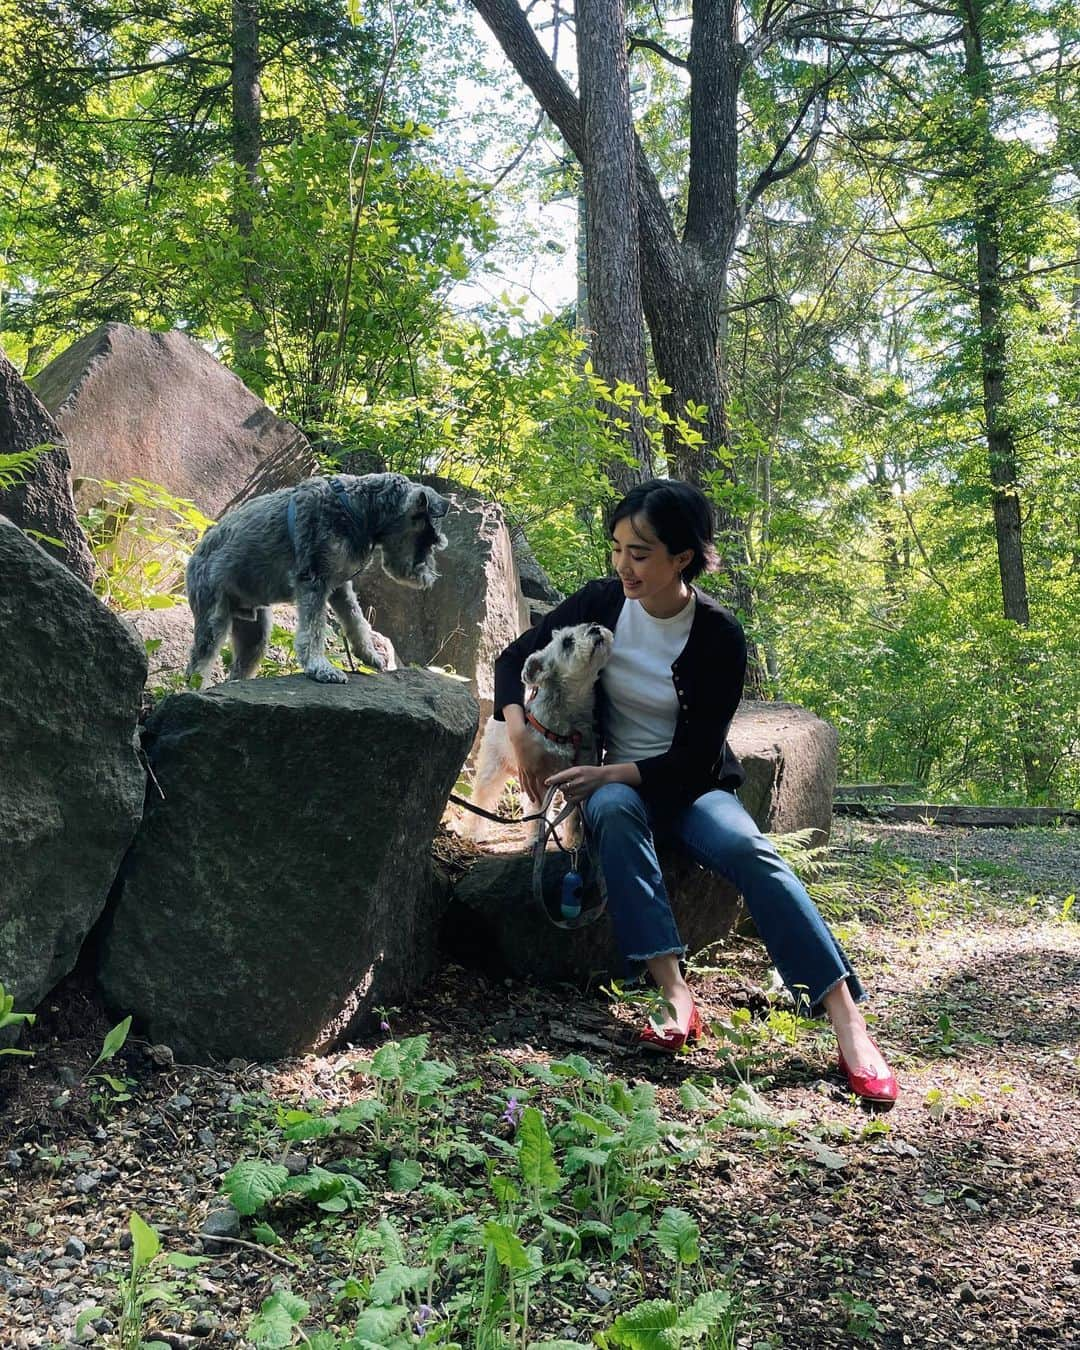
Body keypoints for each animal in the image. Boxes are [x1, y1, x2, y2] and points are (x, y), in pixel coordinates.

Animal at [186, 475, 448, 685]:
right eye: (430, 540)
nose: (430, 578)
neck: (357, 509)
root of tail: (194, 557)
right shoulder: (313, 580)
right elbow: (313, 629)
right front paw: (320, 667)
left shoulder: (340, 587)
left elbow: (356, 619)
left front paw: (369, 654)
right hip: (213, 619)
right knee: (198, 665)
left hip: (255, 634)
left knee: (240, 666)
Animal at [461, 623, 615, 842]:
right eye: (567, 642)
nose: (595, 627)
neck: (571, 717)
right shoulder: (539, 776)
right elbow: (539, 811)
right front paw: (536, 838)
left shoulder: (580, 772)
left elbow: (574, 813)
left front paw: (574, 839)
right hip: (492, 767)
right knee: (481, 797)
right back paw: (473, 832)